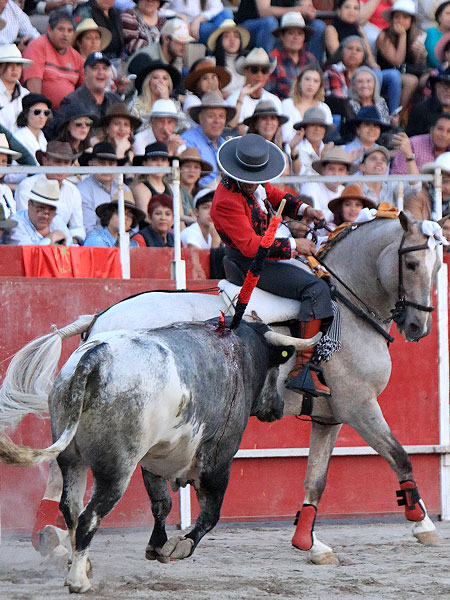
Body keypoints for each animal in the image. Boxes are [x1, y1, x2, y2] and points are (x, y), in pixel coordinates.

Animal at [0, 213, 442, 564]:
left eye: (439, 266)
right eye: (411, 262)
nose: (418, 327)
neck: (348, 306)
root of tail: (101, 317)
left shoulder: (329, 417)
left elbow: (315, 479)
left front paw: (309, 543)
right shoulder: (359, 405)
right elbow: (399, 456)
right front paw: (421, 523)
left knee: (61, 465)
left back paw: (53, 536)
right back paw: (59, 539)